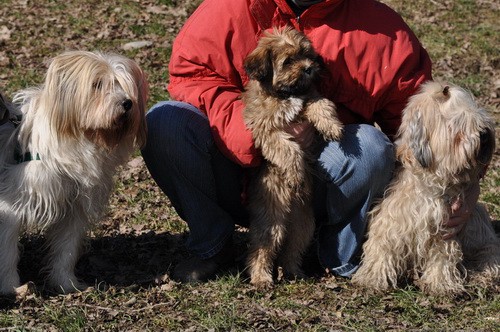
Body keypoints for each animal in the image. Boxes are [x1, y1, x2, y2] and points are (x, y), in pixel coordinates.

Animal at [0, 51, 147, 296]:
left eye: (124, 85)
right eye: (97, 84)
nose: (127, 103)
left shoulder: (75, 207)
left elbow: (65, 249)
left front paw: (65, 283)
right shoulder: (10, 208)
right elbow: (8, 251)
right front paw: (11, 287)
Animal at [242, 26, 344, 288]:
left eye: (306, 54)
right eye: (288, 61)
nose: (309, 68)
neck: (286, 94)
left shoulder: (310, 98)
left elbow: (322, 104)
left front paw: (332, 126)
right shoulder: (266, 129)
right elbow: (288, 149)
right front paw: (296, 172)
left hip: (304, 226)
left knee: (291, 250)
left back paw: (294, 272)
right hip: (271, 222)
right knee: (261, 250)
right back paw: (261, 278)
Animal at [352, 81, 500, 294]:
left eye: (479, 116)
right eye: (458, 124)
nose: (485, 133)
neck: (432, 182)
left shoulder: (445, 228)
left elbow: (443, 256)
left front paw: (440, 284)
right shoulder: (392, 221)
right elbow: (382, 246)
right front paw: (371, 278)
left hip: (485, 244)